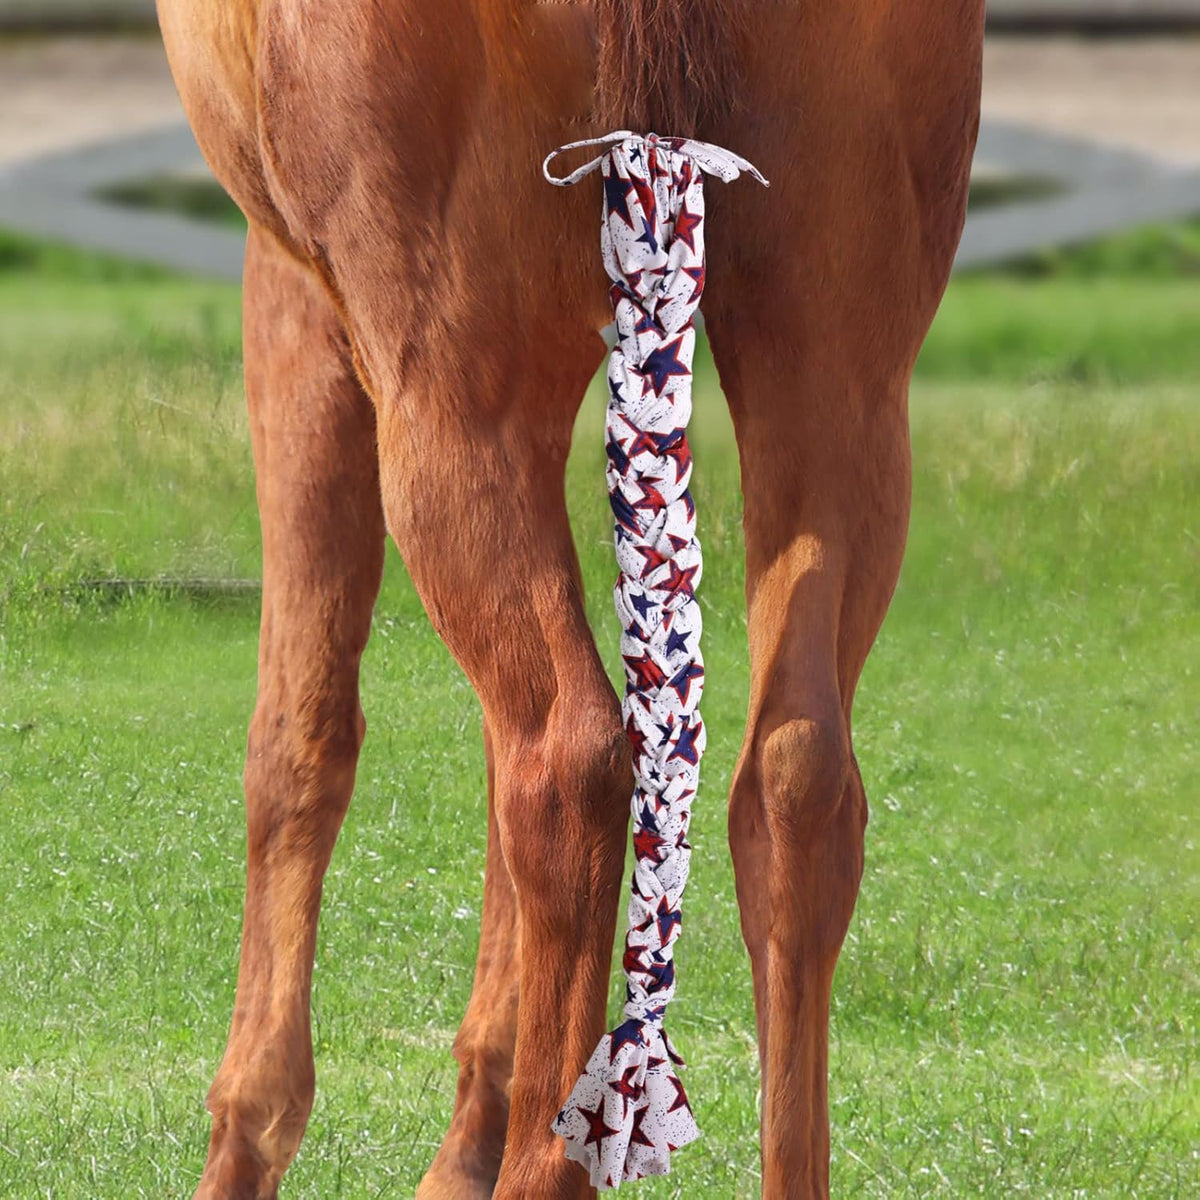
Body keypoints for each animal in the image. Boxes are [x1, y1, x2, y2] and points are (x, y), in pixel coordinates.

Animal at [154, 1, 985, 1195]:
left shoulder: (301, 300)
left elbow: (298, 743)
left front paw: (247, 1138)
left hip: (452, 391)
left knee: (567, 759)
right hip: (842, 388)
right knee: (795, 779)